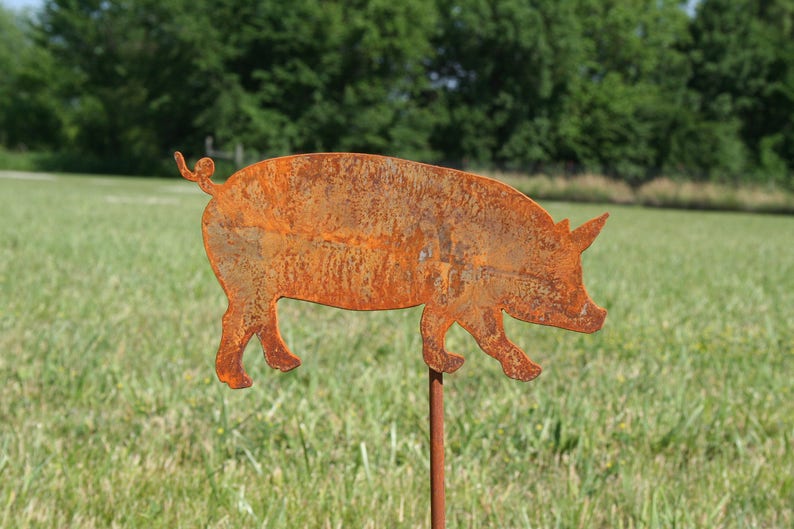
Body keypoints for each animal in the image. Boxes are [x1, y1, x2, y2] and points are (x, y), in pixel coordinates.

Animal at [175, 151, 607, 389]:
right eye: (557, 281)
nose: (601, 316)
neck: (502, 256)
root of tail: (217, 189)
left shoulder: (466, 300)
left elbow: (460, 331)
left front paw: (460, 366)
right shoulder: (458, 295)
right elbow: (469, 333)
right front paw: (462, 365)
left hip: (264, 287)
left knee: (263, 320)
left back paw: (289, 365)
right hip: (246, 279)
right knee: (236, 321)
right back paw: (241, 381)